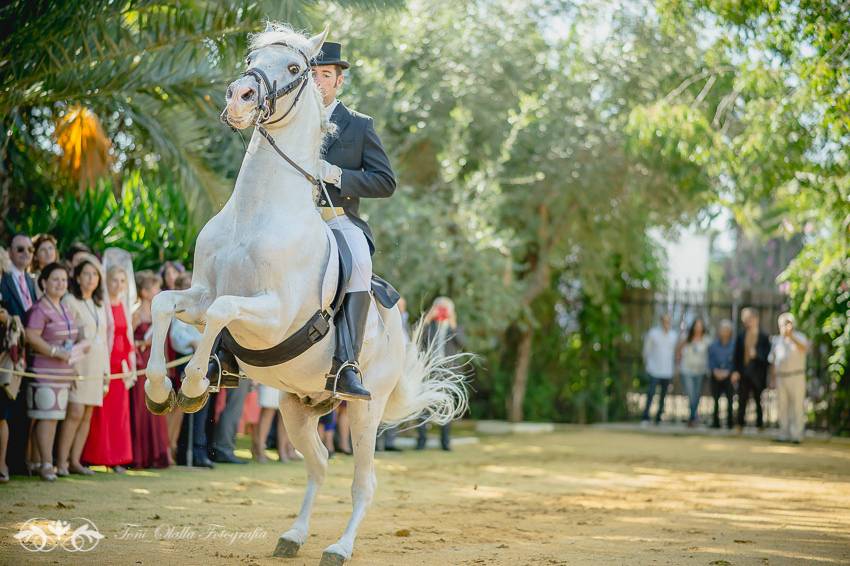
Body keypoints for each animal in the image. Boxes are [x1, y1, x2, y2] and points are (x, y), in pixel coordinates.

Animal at [142, 24, 468, 564]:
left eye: (295, 68)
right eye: (251, 60)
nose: (239, 97)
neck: (255, 214)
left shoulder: (272, 315)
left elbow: (224, 312)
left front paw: (191, 385)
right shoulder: (201, 294)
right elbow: (164, 303)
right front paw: (159, 389)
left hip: (364, 409)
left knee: (363, 483)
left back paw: (338, 546)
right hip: (296, 406)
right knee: (317, 465)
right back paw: (292, 536)